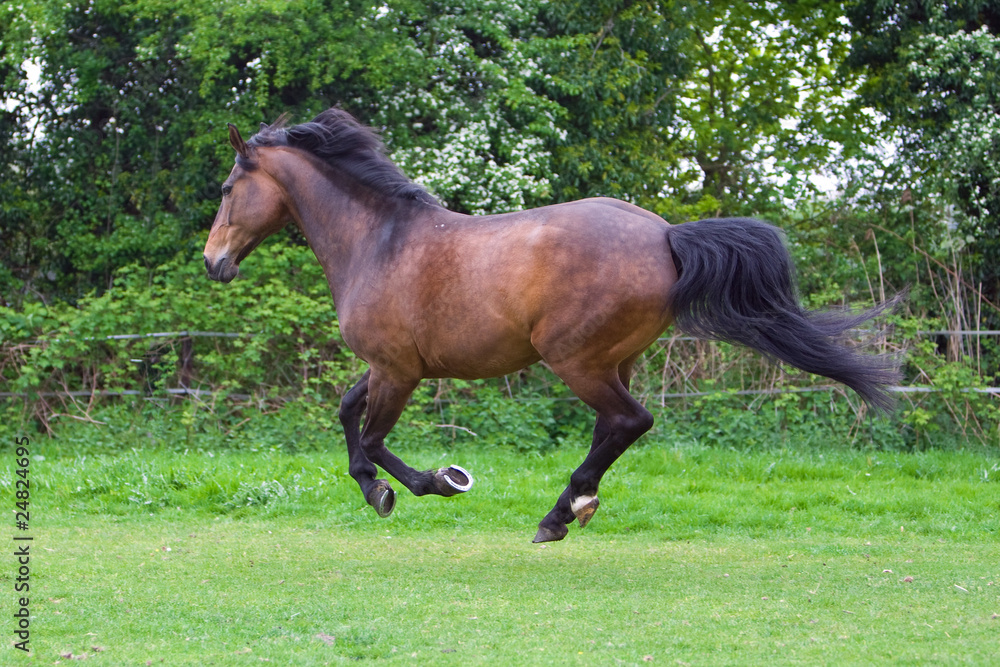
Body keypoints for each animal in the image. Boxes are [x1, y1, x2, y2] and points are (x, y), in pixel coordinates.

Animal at [203, 108, 901, 543]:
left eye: (229, 187)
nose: (214, 262)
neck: (379, 240)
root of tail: (667, 236)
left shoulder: (397, 369)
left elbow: (373, 439)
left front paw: (436, 483)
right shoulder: (387, 366)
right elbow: (349, 415)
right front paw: (376, 492)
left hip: (575, 358)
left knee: (629, 421)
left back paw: (559, 514)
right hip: (615, 359)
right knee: (614, 427)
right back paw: (576, 506)